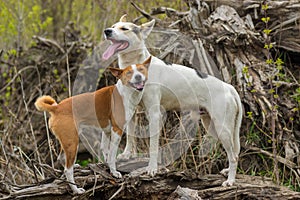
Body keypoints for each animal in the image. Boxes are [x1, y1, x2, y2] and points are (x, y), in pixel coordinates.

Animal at [102, 14, 155, 159]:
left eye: (124, 28)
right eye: (113, 26)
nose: (107, 31)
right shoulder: (131, 110)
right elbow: (131, 135)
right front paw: (128, 154)